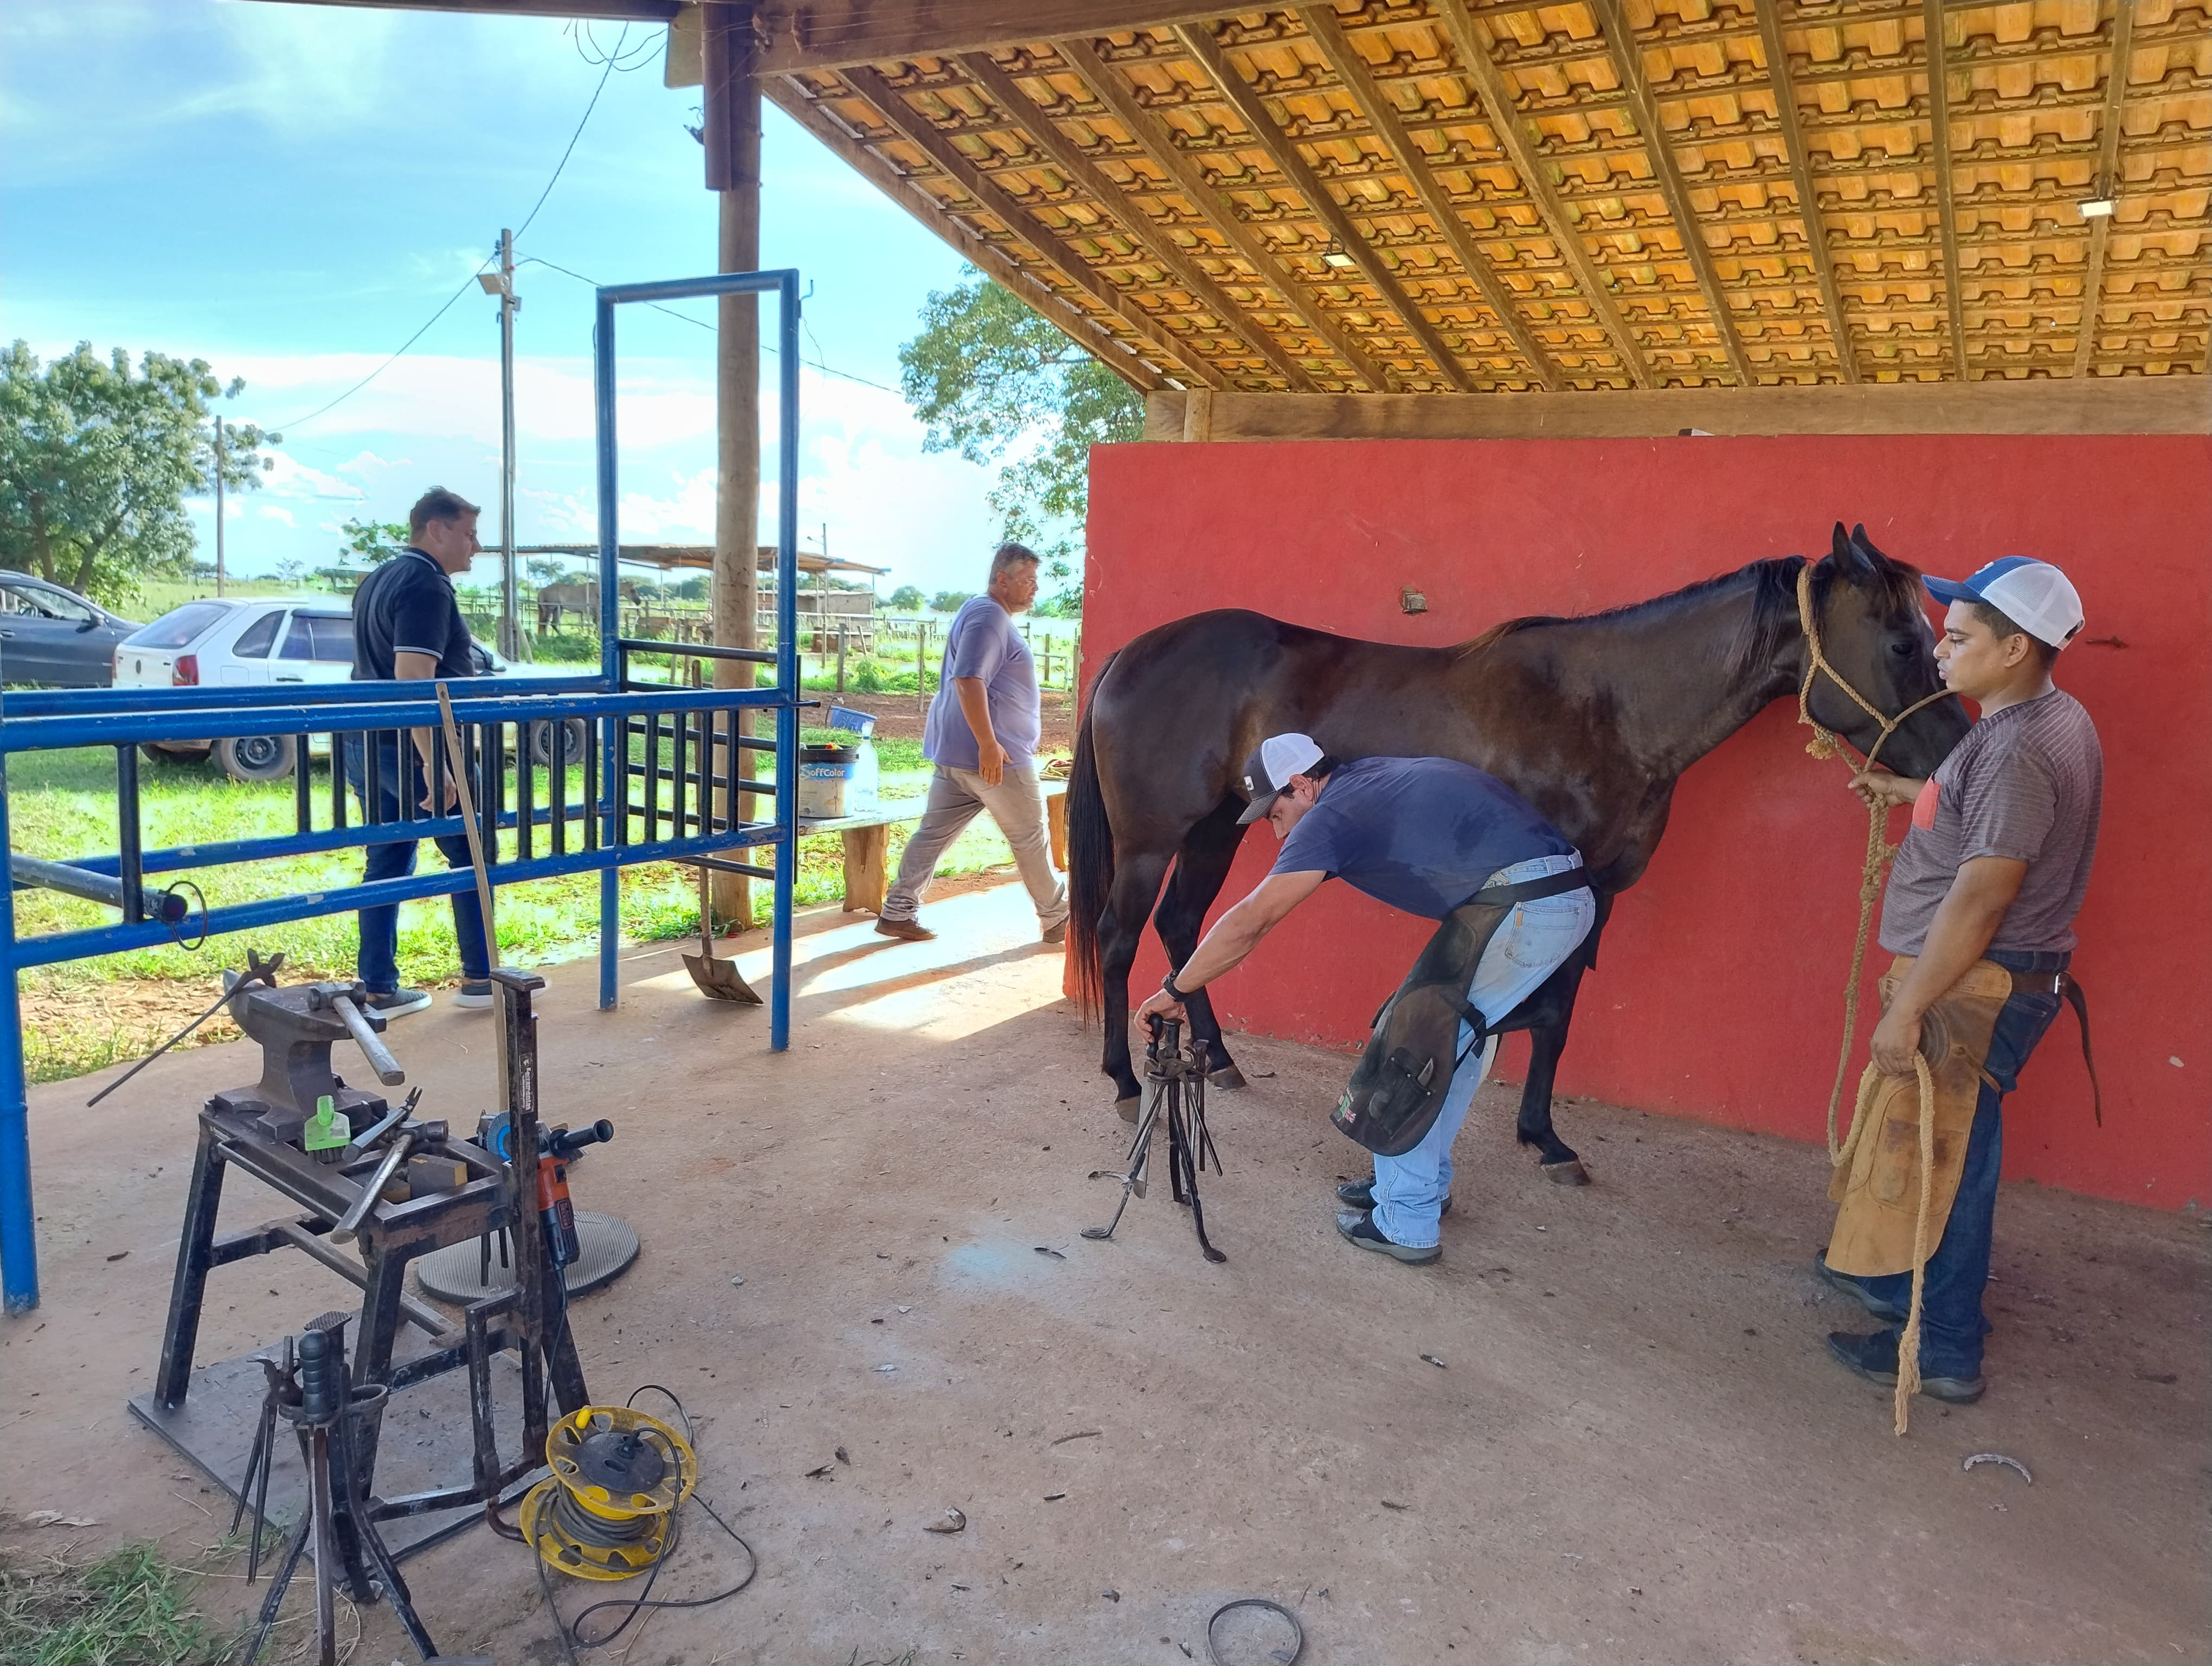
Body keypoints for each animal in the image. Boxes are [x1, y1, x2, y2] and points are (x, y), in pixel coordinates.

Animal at [1070, 526, 1973, 1177]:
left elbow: (1558, 1014)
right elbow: (1545, 1013)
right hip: (1152, 841)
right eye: (1902, 643)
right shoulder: (1564, 880)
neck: (1608, 708)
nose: (1953, 752)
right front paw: (1541, 1135)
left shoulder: (1594, 888)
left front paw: (1544, 1135)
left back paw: (1218, 1056)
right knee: (1122, 939)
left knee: (1186, 928)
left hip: (1216, 830)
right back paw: (1121, 1077)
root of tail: (1128, 654)